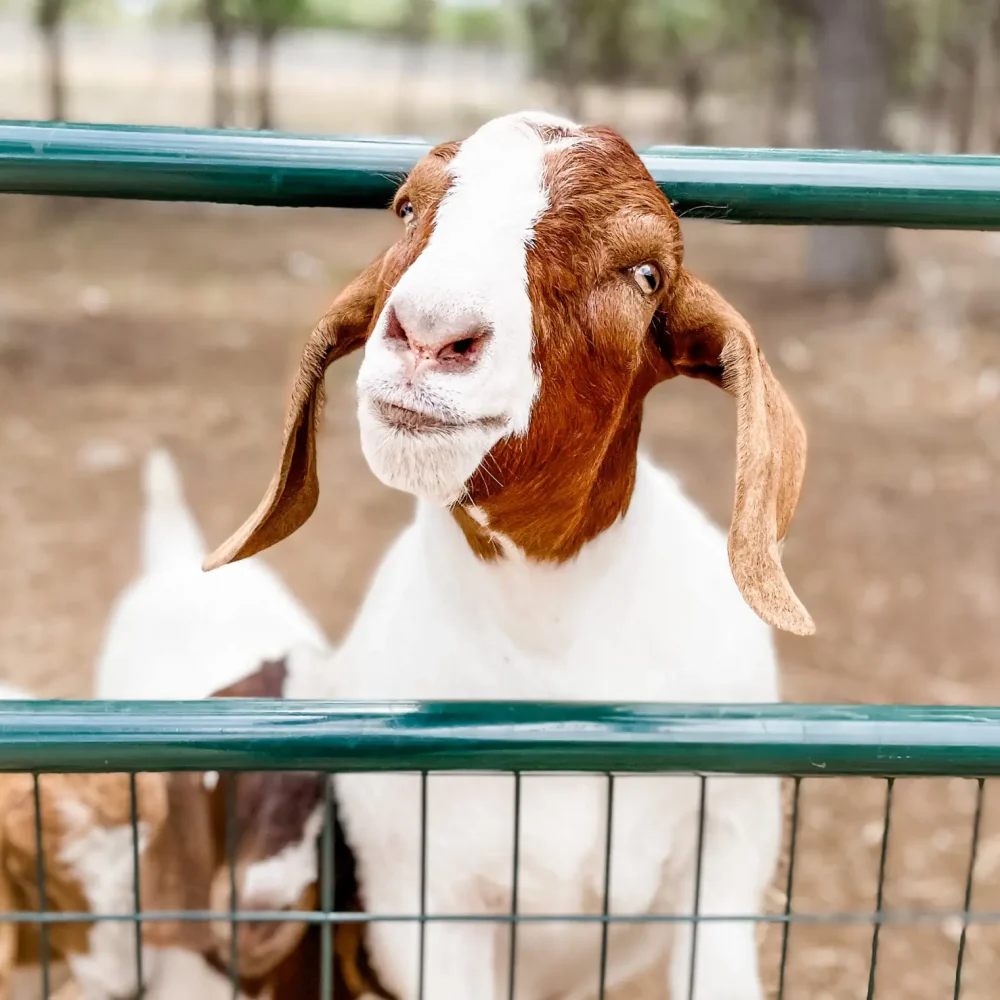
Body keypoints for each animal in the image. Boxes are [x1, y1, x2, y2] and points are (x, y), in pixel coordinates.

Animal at [206, 112, 814, 1000]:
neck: (547, 648)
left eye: (645, 274)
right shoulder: (423, 909)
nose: (430, 332)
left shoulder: (728, 859)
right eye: (405, 209)